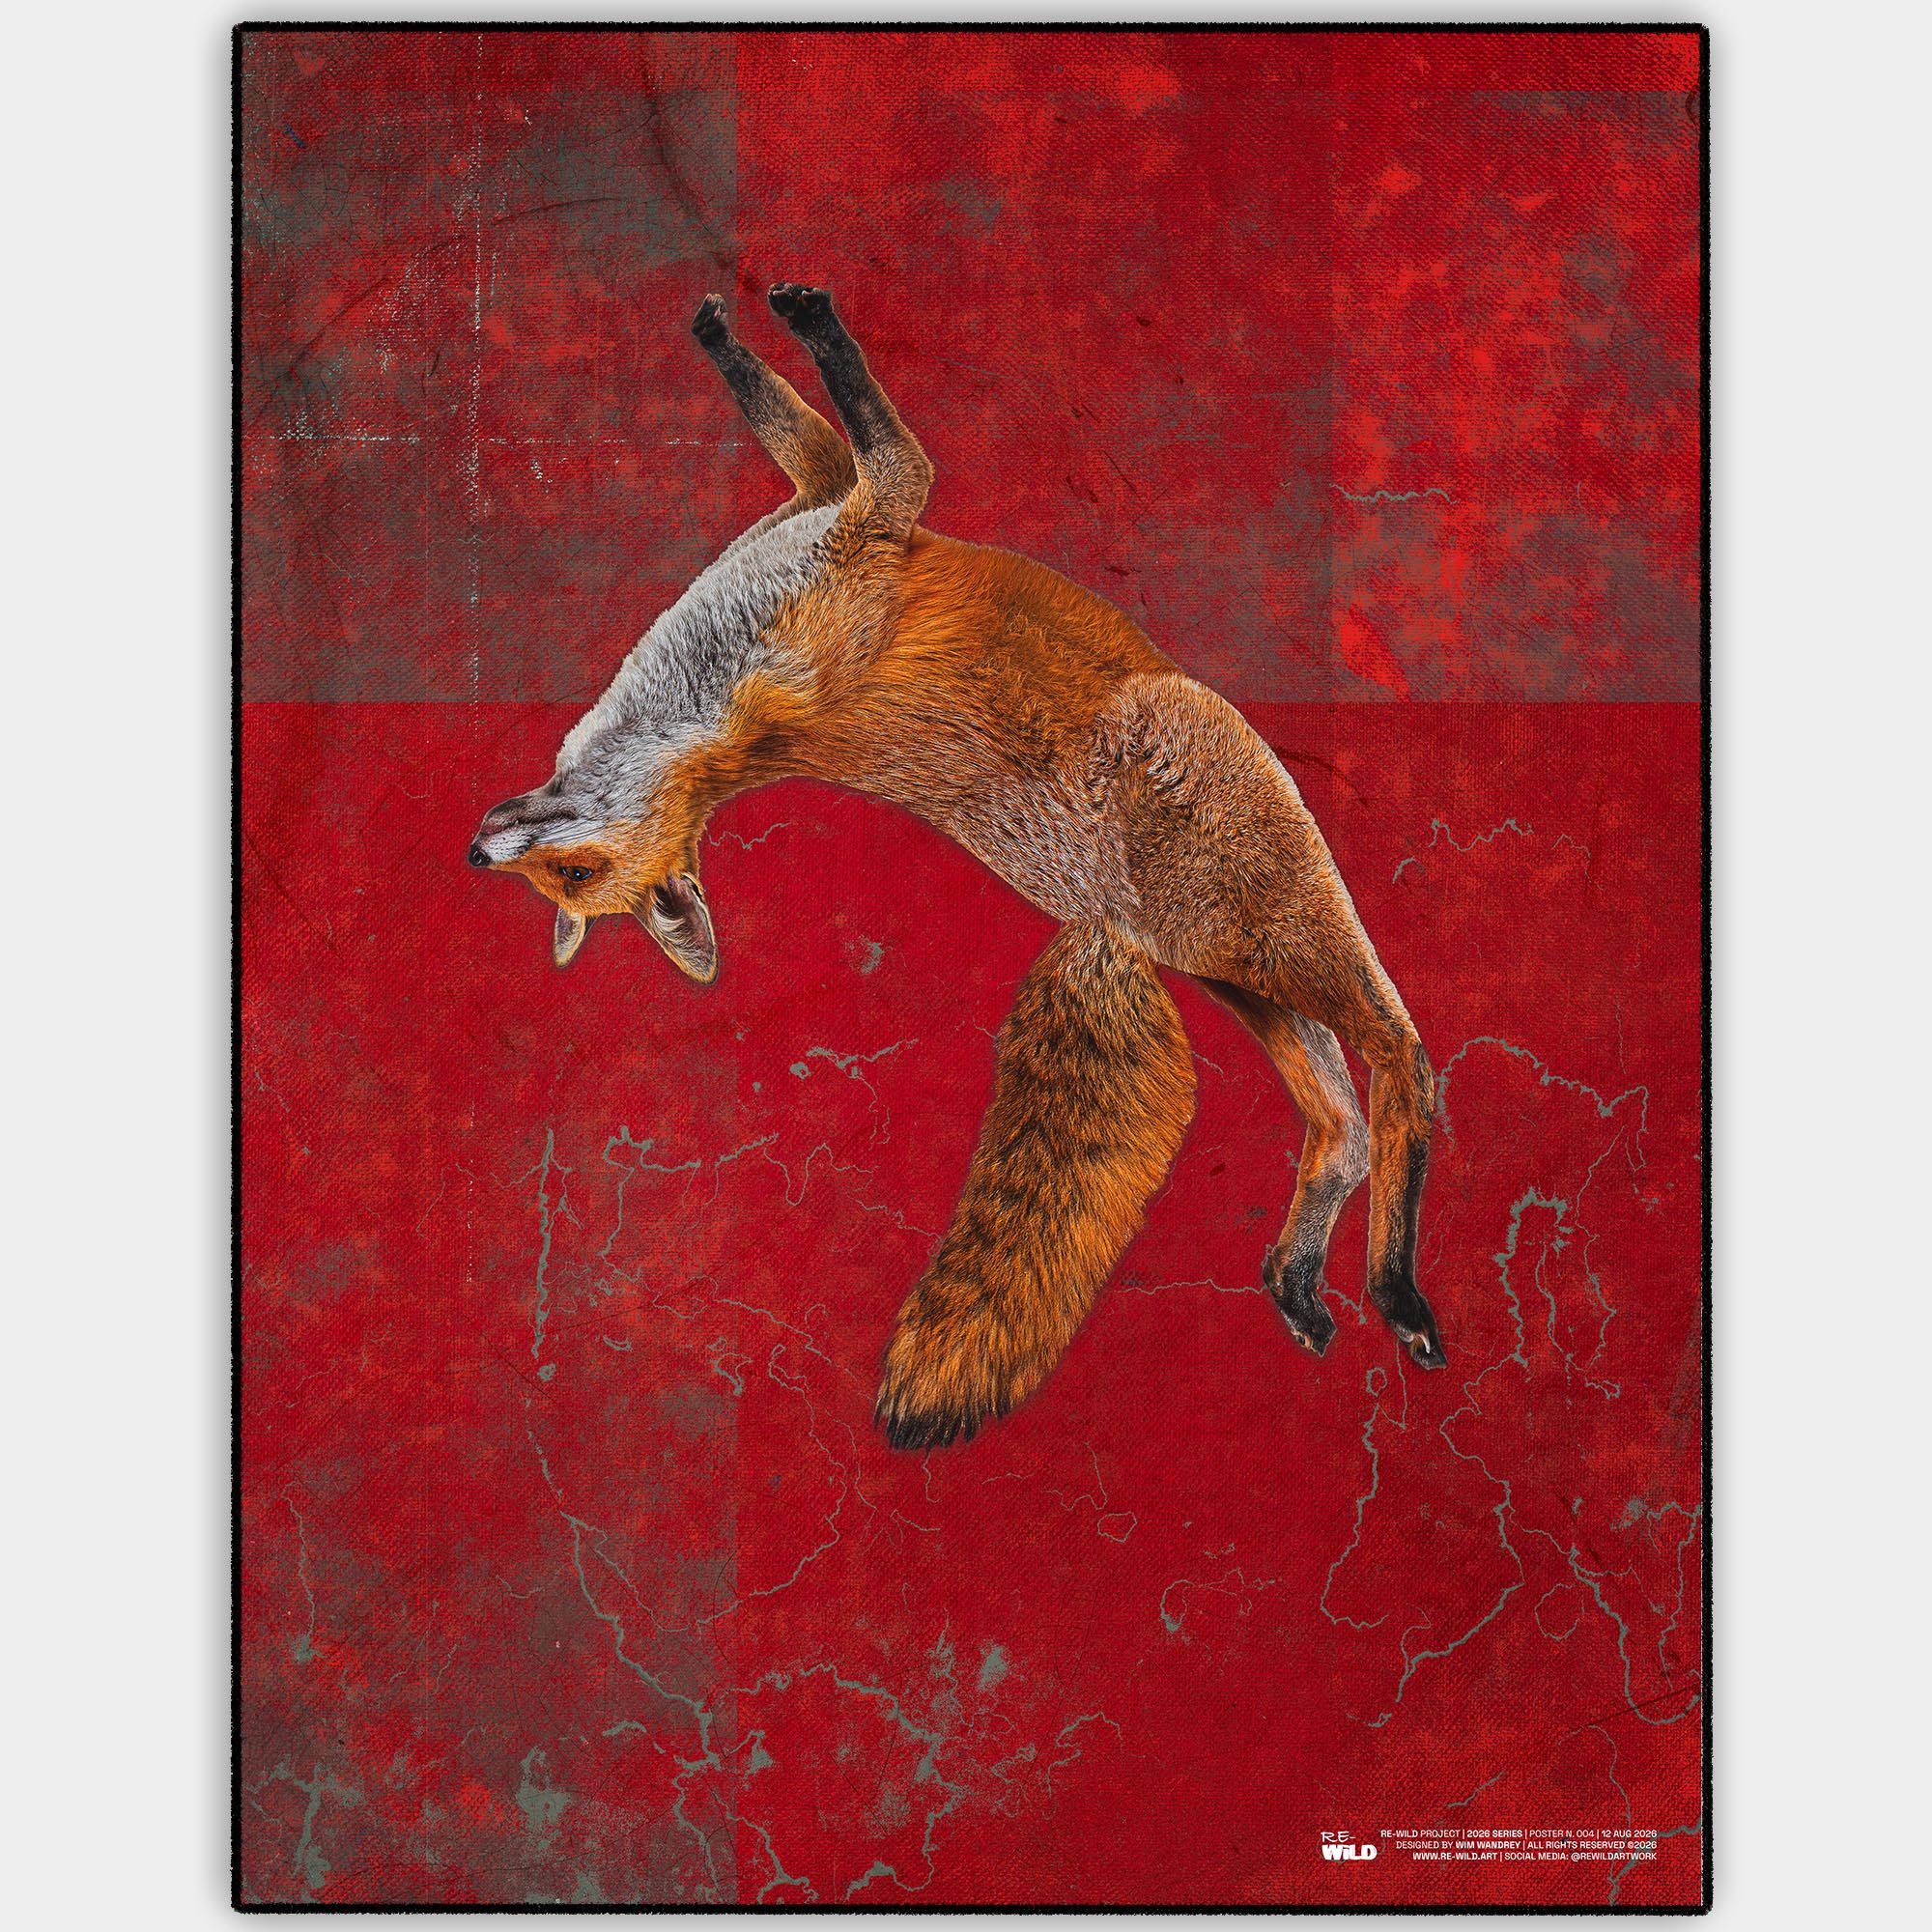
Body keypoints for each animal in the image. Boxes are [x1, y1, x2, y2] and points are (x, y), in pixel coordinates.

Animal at [469, 283, 1445, 1449]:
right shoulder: (875, 510)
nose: (477, 849)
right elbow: (886, 430)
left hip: (1241, 966)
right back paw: (1382, 1287)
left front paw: (725, 327)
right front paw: (806, 318)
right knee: (1385, 1081)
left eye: (568, 878)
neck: (713, 706)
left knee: (1346, 1116)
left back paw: (1310, 1280)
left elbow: (802, 421)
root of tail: (1108, 924)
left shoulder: (827, 503)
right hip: (1266, 946)